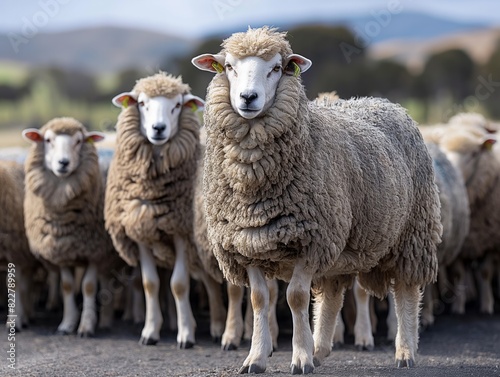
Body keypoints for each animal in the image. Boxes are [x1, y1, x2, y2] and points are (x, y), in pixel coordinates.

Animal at [23, 117, 118, 334]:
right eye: (48, 140)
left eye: (79, 141)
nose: (63, 163)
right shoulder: (62, 251)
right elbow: (66, 286)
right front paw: (67, 324)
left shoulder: (94, 249)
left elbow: (89, 286)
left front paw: (86, 326)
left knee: (106, 281)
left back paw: (106, 320)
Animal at [104, 71, 226, 346]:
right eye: (141, 103)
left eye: (177, 105)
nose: (158, 129)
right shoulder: (140, 230)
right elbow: (150, 283)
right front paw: (150, 331)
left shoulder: (182, 233)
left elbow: (178, 285)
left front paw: (186, 334)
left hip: (200, 243)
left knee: (211, 282)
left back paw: (217, 326)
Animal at [191, 27, 442, 374]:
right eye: (229, 67)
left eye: (276, 68)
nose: (248, 98)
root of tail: (384, 102)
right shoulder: (246, 244)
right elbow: (259, 299)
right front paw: (256, 358)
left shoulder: (312, 242)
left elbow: (296, 297)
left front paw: (299, 358)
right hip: (342, 245)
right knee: (332, 295)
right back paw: (320, 349)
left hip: (412, 233)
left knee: (405, 289)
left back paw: (405, 351)